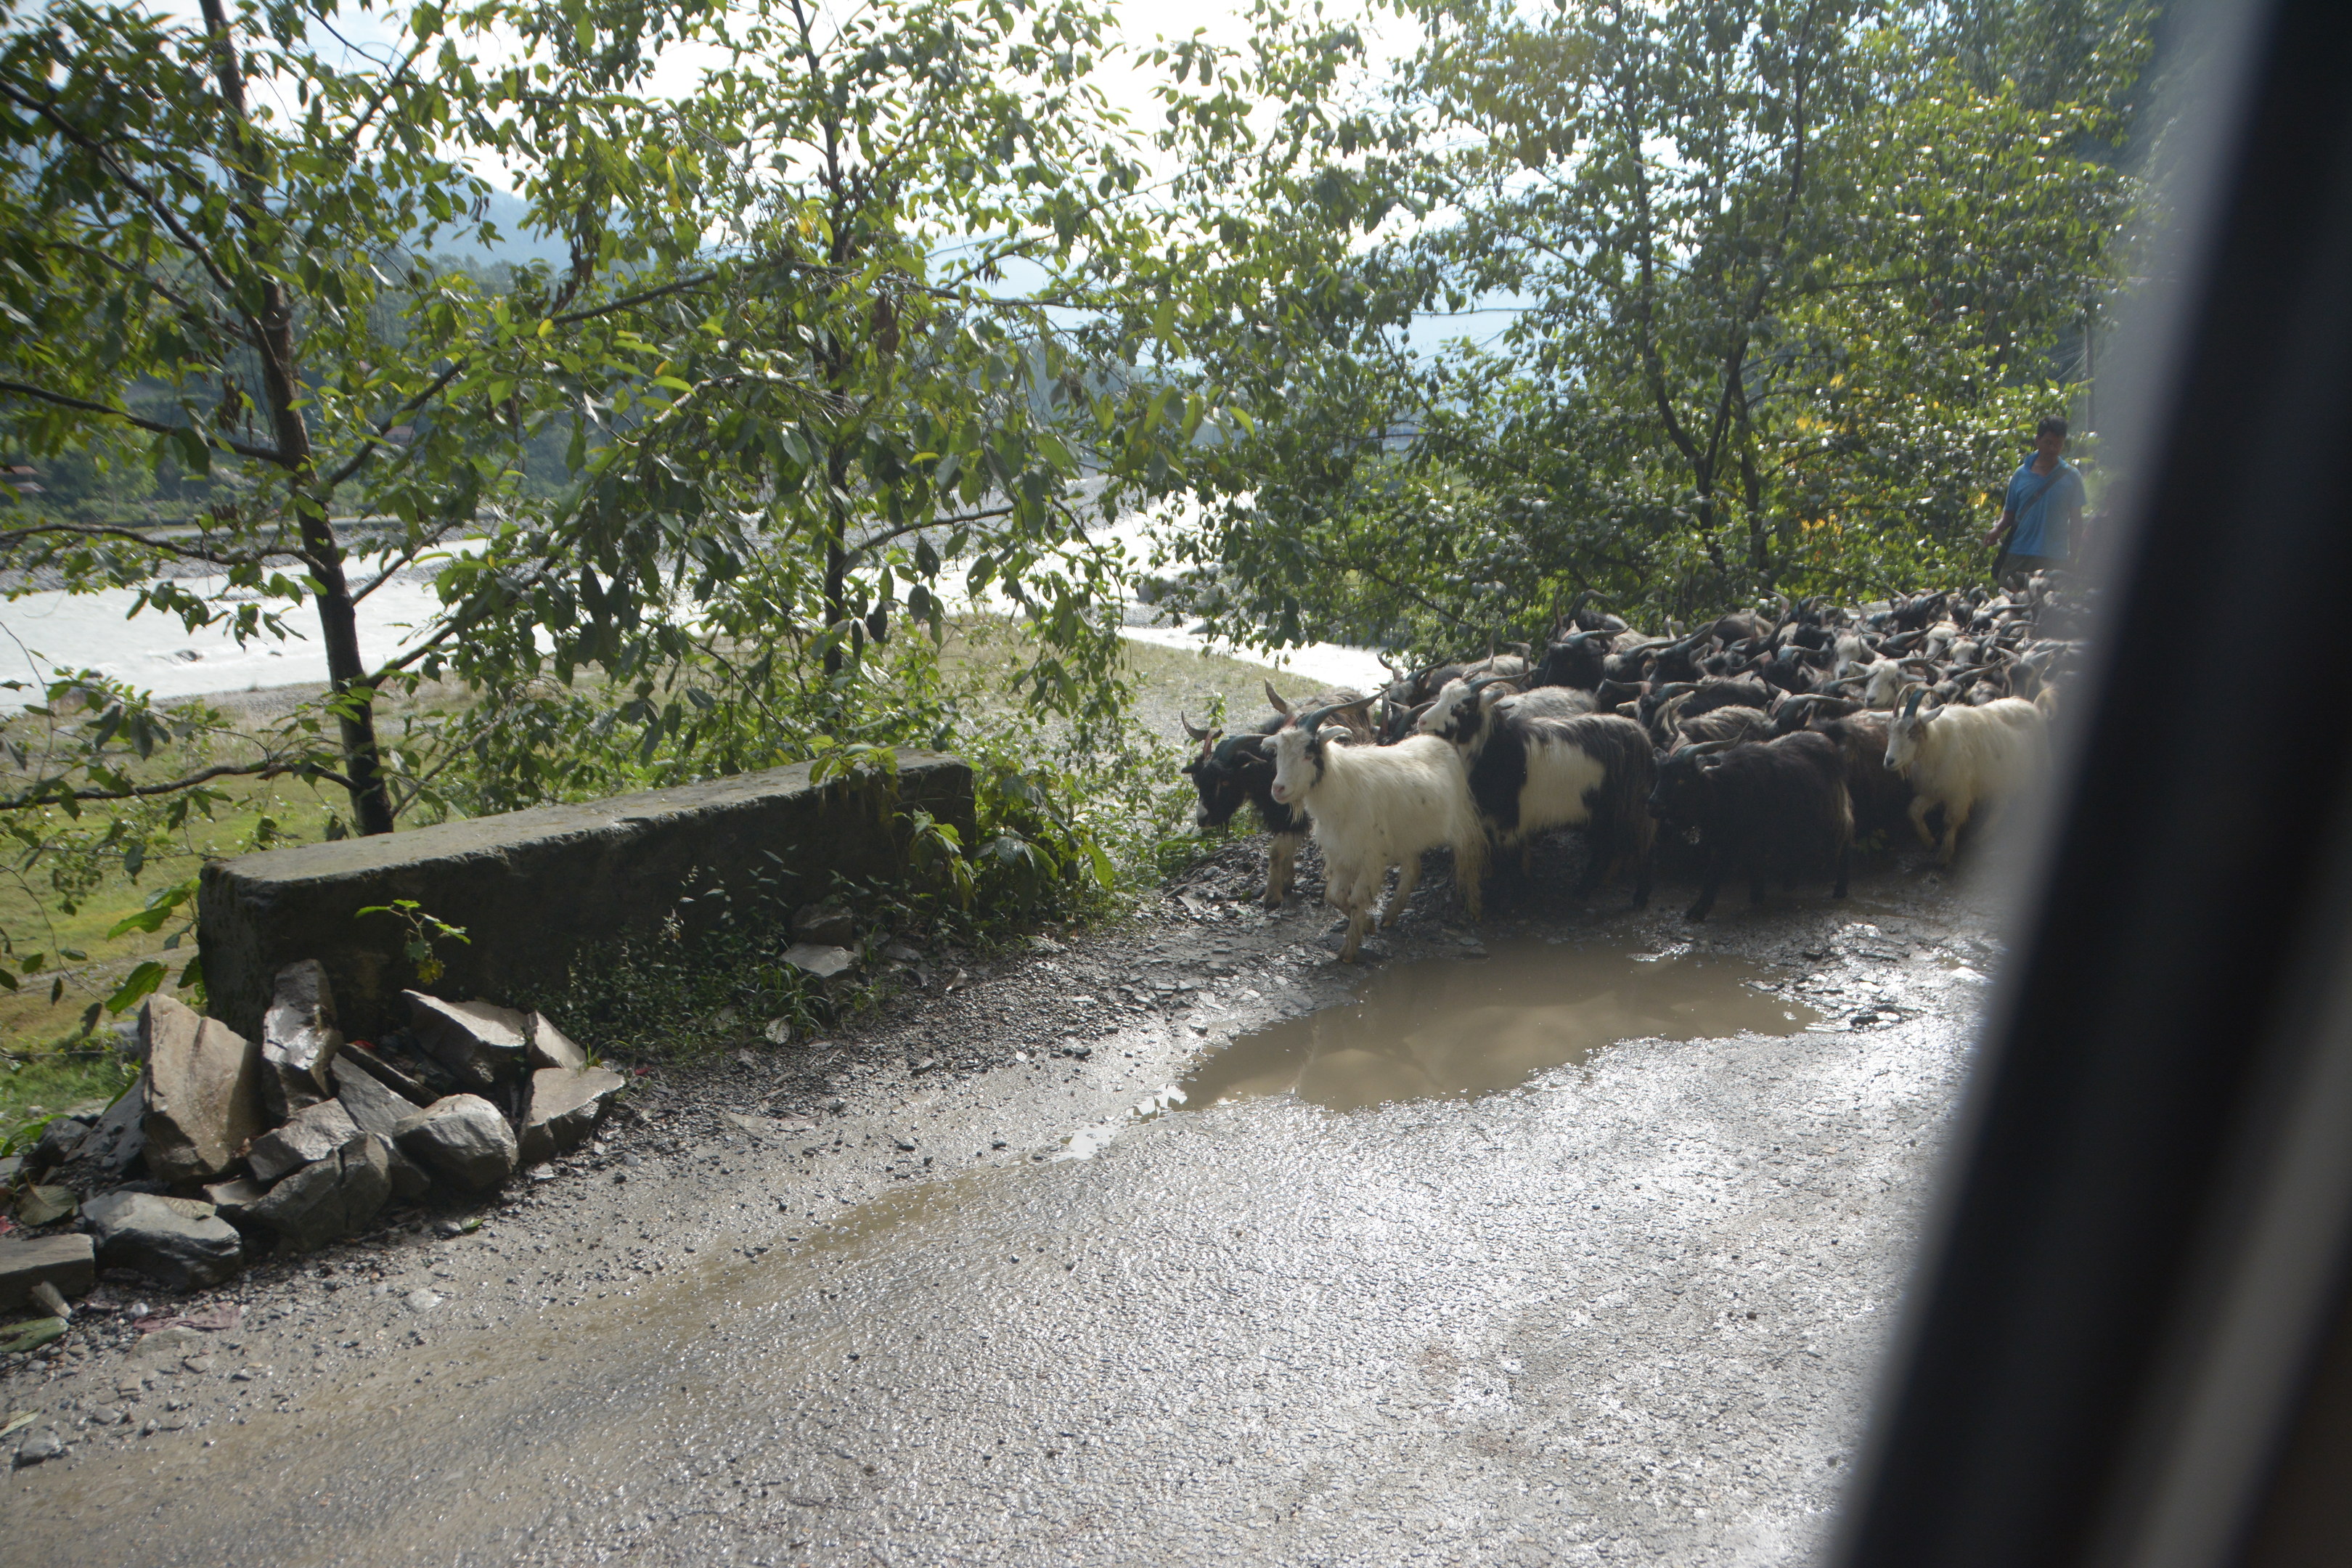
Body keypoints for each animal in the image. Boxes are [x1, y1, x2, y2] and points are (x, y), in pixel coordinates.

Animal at [1267, 707, 1488, 961]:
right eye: (1278, 752)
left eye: (1308, 754)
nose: (1278, 789)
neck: (1342, 790)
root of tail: (1440, 742)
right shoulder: (1342, 854)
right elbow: (1334, 896)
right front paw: (1368, 924)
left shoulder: (1371, 856)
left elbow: (1357, 899)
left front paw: (1349, 951)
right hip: (1407, 836)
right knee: (1412, 871)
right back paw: (1390, 916)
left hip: (1462, 819)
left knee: (1470, 855)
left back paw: (1475, 908)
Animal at [1418, 677, 1655, 905]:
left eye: (1463, 705)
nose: (1422, 722)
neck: (1494, 749)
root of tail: (1641, 736)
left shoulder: (1509, 822)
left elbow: (1508, 861)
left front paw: (1506, 899)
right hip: (1600, 811)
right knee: (1606, 848)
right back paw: (1583, 890)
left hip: (1627, 806)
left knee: (1640, 843)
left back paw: (1639, 898)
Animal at [1647, 732, 1853, 921]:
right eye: (1660, 775)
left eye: (1681, 779)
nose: (1653, 805)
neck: (1721, 787)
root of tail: (1829, 744)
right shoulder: (1746, 839)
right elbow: (1753, 865)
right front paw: (1757, 896)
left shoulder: (1731, 842)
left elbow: (1714, 873)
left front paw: (1696, 912)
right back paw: (1790, 883)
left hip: (1833, 816)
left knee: (1844, 843)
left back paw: (1840, 891)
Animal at [1882, 691, 2050, 864]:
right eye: (1889, 731)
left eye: (1912, 733)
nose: (1889, 761)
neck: (1938, 745)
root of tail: (2032, 706)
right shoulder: (1935, 789)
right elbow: (1914, 811)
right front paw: (1929, 842)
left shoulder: (1958, 793)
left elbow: (1950, 821)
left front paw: (1944, 855)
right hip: (2002, 778)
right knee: (2000, 804)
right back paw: (1982, 835)